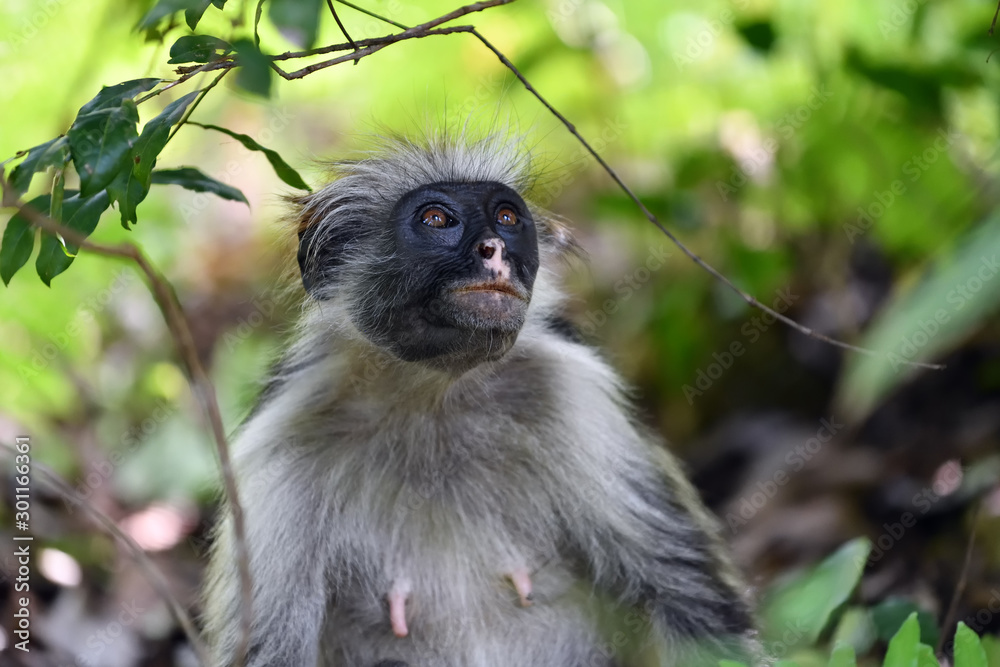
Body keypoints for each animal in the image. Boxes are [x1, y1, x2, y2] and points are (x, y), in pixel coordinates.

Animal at [203, 132, 760, 667]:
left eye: (507, 218)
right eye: (436, 219)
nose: (495, 249)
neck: (434, 398)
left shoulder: (576, 394)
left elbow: (697, 606)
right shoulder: (279, 444)